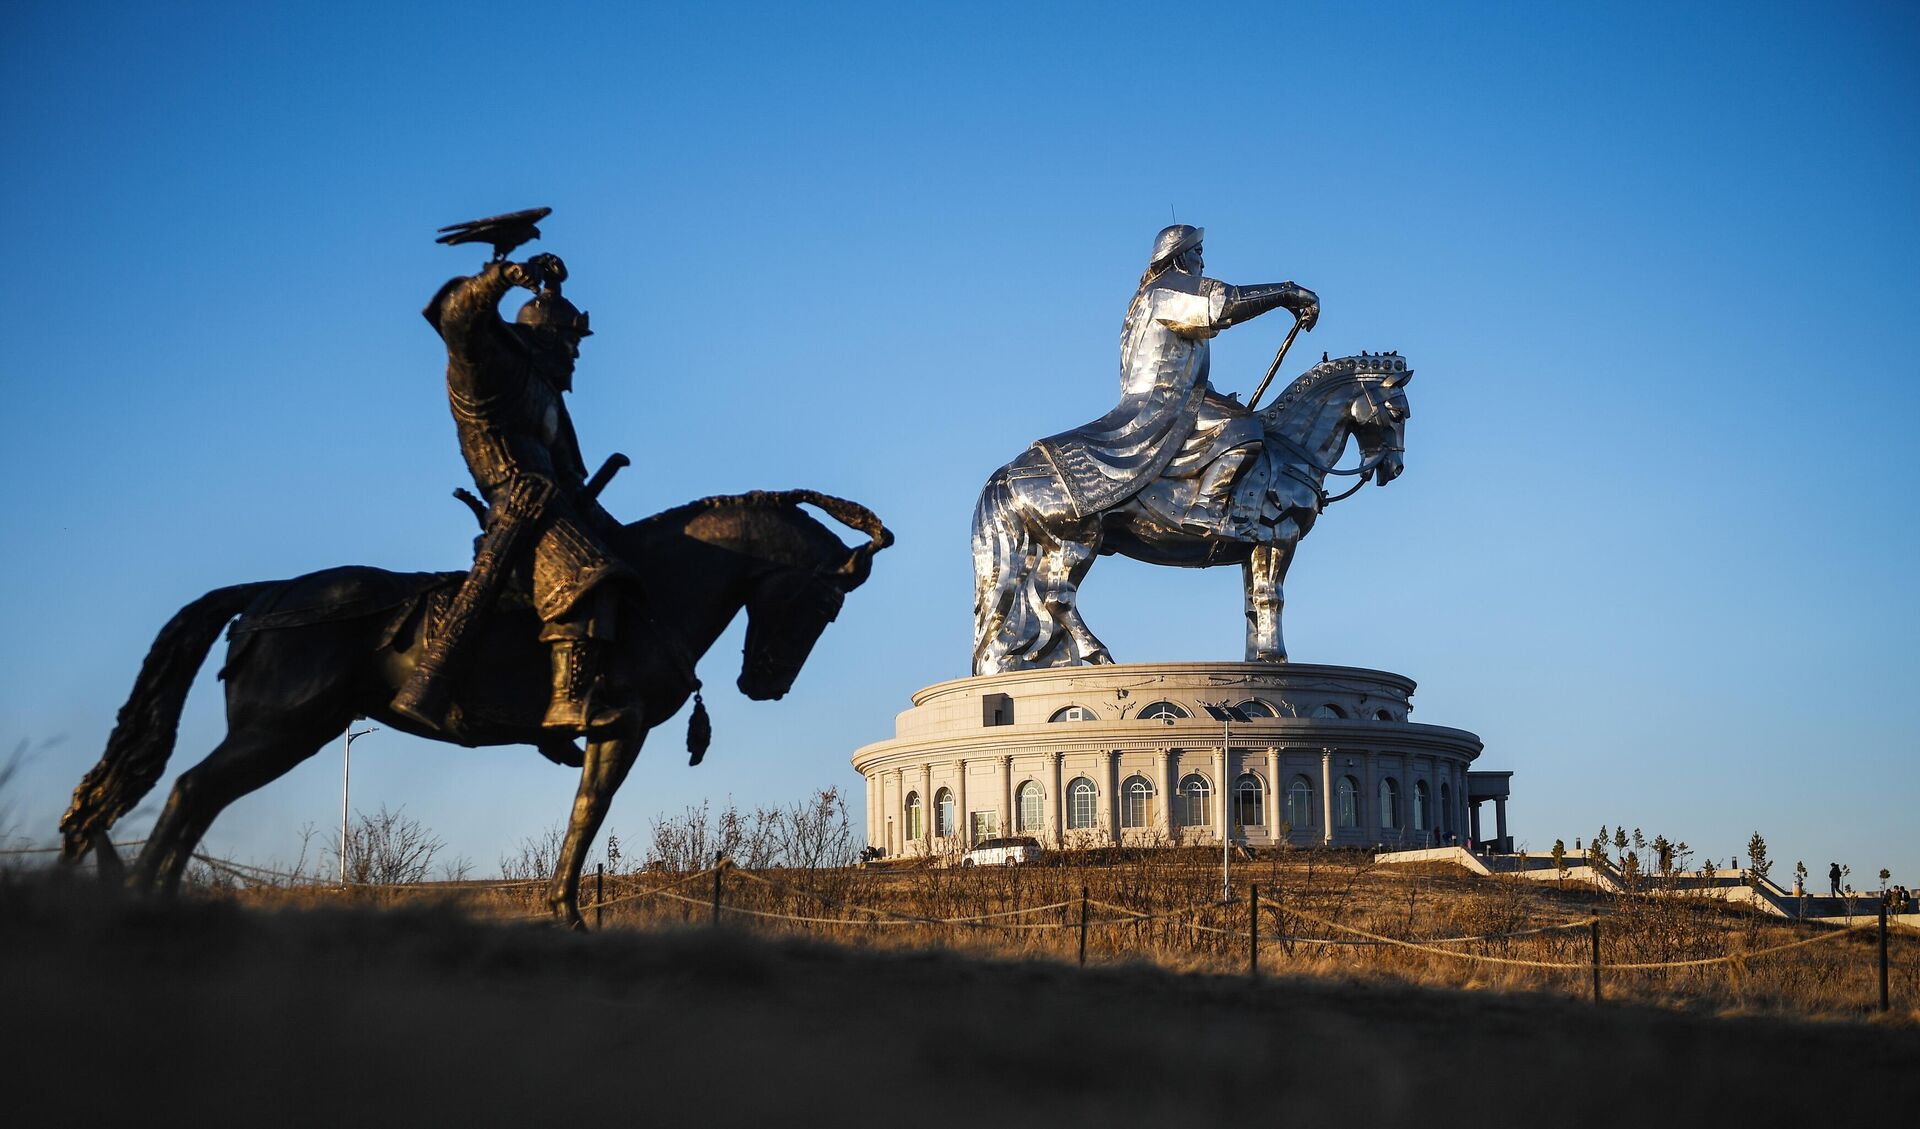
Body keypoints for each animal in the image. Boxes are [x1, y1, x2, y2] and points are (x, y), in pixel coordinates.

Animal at [975, 351, 1413, 672]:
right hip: (1077, 539)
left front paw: (1258, 658)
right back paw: (1098, 654)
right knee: (1057, 597)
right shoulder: (1280, 537)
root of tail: (1013, 469)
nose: (1393, 468)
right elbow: (1272, 597)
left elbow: (1252, 604)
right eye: (1397, 413)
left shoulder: (1253, 546)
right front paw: (1276, 657)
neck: (1291, 449)